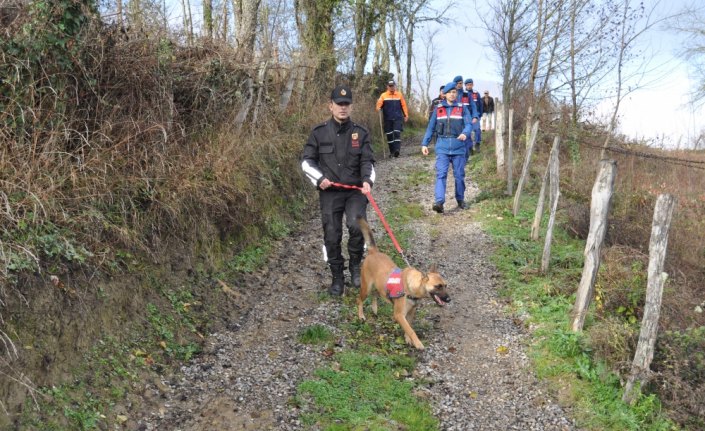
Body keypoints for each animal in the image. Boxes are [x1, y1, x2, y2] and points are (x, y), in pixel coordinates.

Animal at [354, 219, 448, 352]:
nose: (449, 299)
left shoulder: (410, 313)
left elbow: (409, 327)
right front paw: (418, 343)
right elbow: (410, 329)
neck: (412, 287)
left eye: (445, 285)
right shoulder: (399, 315)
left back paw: (374, 308)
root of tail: (373, 252)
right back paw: (361, 315)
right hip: (366, 288)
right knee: (359, 300)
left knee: (375, 294)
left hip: (378, 286)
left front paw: (408, 339)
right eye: (438, 286)